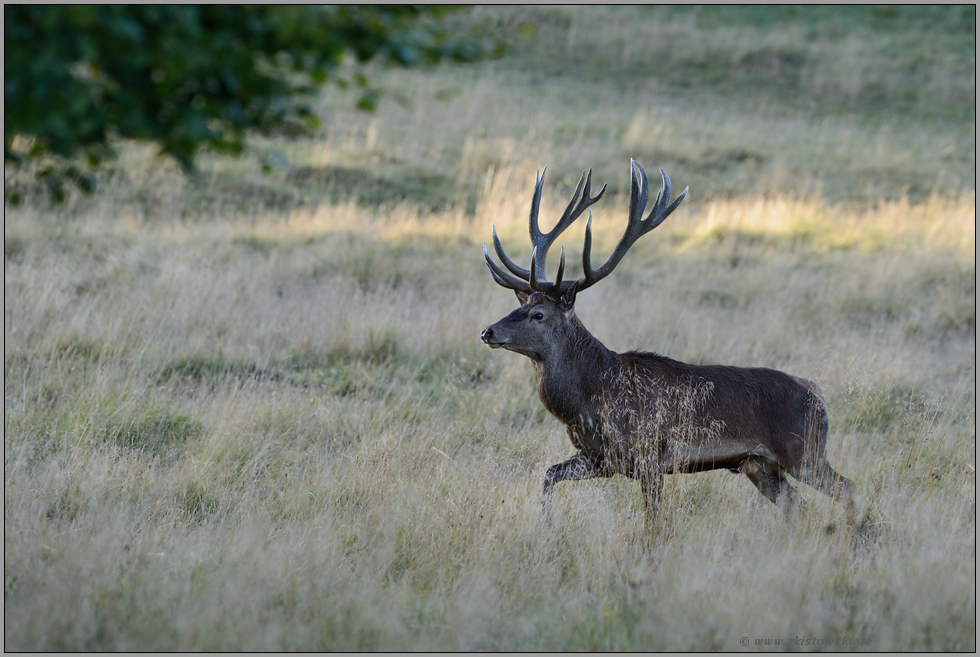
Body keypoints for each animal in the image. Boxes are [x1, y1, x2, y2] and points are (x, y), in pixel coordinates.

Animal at [478, 161, 852, 520]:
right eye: (521, 305)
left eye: (539, 315)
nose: (488, 331)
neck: (589, 400)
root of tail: (819, 396)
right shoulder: (599, 459)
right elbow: (548, 475)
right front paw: (546, 525)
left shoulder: (650, 455)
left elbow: (654, 522)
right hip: (760, 466)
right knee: (800, 509)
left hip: (803, 451)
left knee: (848, 488)